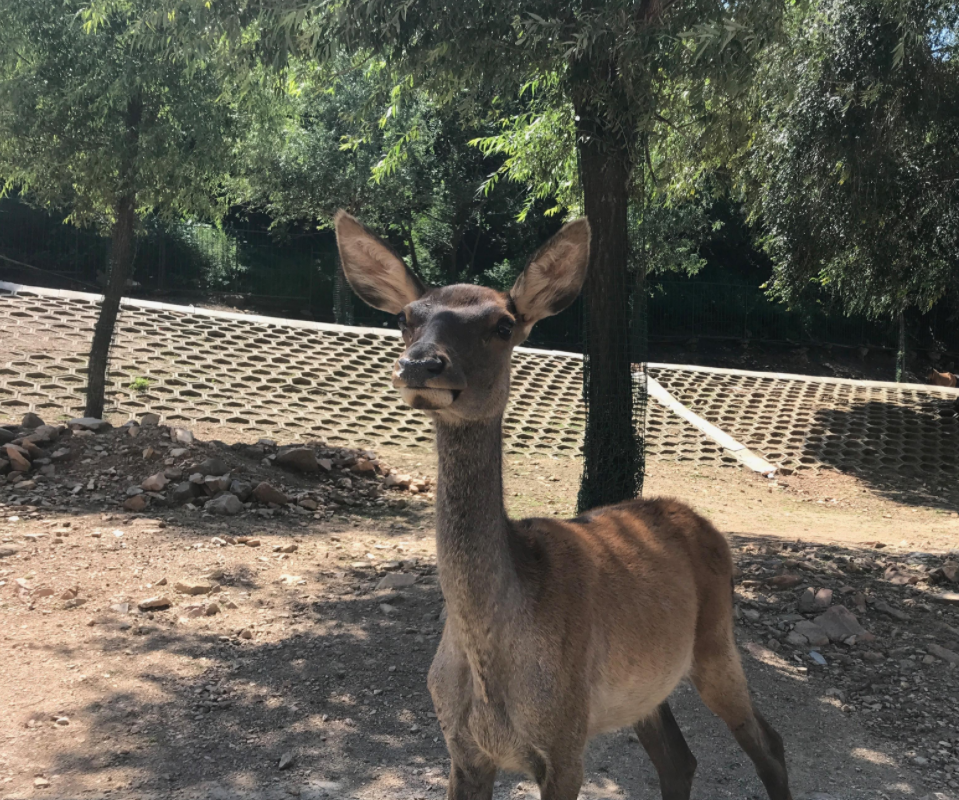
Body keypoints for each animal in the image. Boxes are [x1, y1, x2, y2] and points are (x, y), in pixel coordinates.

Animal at [334, 212, 792, 800]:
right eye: (405, 318)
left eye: (503, 324)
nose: (420, 364)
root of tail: (704, 524)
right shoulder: (461, 748)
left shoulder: (566, 741)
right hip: (644, 687)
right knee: (679, 759)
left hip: (717, 643)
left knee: (768, 742)